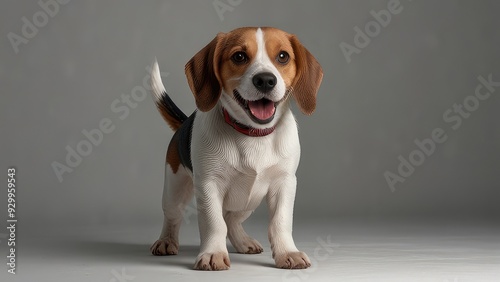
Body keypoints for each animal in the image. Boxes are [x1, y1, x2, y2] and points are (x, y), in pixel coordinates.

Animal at [150, 27, 322, 270]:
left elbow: (280, 222)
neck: (252, 134)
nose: (265, 80)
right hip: (174, 187)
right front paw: (213, 253)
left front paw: (288, 252)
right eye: (239, 56)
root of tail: (184, 123)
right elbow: (214, 223)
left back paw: (242, 241)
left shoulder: (285, 183)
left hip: (249, 201)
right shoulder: (209, 184)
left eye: (283, 56)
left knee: (231, 219)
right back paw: (166, 241)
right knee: (173, 216)